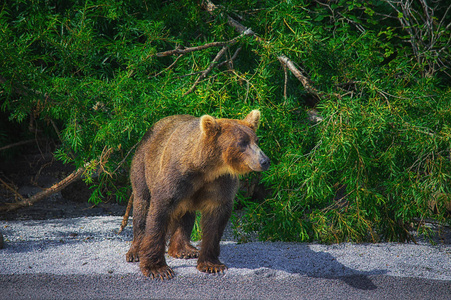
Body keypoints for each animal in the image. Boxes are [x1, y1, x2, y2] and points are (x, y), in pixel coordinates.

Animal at [125, 109, 270, 278]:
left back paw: (184, 249)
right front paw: (157, 269)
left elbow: (215, 222)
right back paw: (135, 251)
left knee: (185, 215)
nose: (265, 161)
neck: (207, 169)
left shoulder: (220, 183)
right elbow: (158, 214)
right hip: (142, 165)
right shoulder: (176, 177)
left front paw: (211, 264)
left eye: (257, 140)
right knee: (142, 204)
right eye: (242, 142)